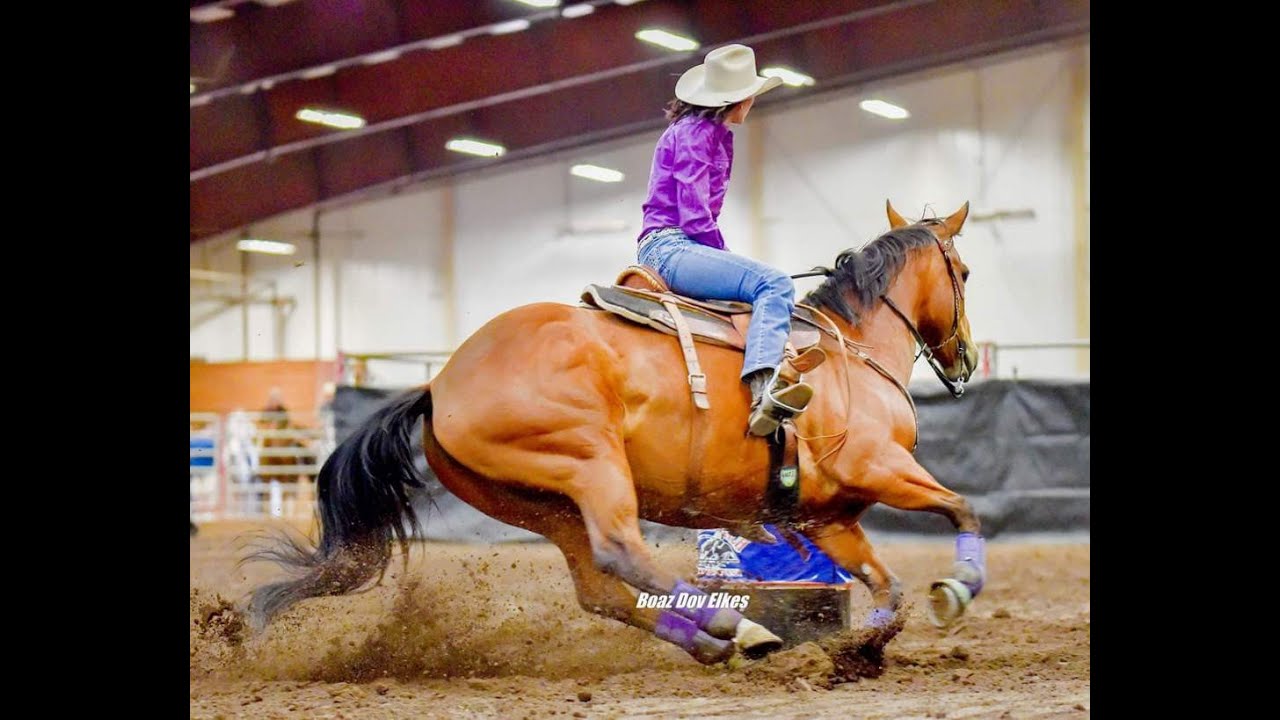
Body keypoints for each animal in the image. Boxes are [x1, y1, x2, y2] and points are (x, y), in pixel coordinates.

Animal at [246, 201, 984, 666]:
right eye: (966, 272)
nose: (967, 359)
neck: (851, 350)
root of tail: (440, 384)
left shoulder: (831, 518)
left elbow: (889, 588)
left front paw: (864, 648)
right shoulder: (878, 465)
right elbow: (960, 507)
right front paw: (958, 589)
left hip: (542, 502)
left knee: (600, 586)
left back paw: (715, 641)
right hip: (590, 463)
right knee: (622, 550)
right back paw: (730, 623)